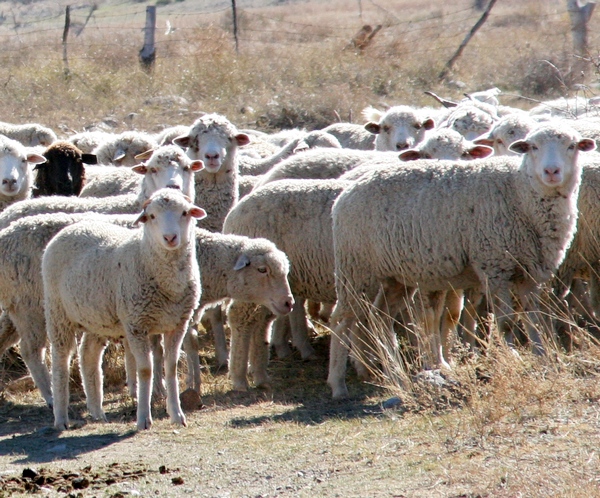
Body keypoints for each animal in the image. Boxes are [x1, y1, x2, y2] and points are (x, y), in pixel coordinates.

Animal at [42, 189, 206, 430]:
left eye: (184, 213)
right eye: (152, 216)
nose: (170, 238)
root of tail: (71, 228)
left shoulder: (178, 323)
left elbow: (171, 366)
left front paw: (177, 414)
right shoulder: (136, 324)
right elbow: (145, 369)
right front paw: (143, 418)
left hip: (97, 317)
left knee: (88, 355)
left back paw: (97, 411)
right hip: (58, 312)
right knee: (61, 359)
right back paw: (61, 418)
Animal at [328, 122, 596, 398]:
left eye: (572, 146)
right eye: (533, 147)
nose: (551, 171)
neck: (520, 193)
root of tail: (345, 194)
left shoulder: (530, 272)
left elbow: (534, 320)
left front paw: (544, 358)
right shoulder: (494, 266)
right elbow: (507, 323)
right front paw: (513, 358)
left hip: (396, 277)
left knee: (379, 319)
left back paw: (397, 377)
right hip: (357, 269)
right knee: (341, 321)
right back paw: (338, 384)